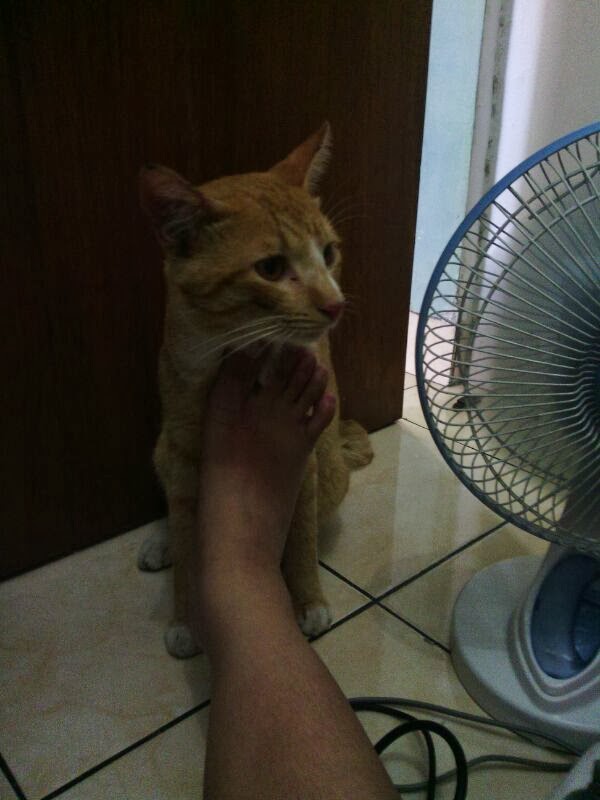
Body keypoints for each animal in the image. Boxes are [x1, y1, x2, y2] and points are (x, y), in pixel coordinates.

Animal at [137, 123, 373, 658]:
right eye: (270, 268)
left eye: (328, 253)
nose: (335, 305)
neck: (239, 352)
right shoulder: (183, 454)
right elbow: (187, 540)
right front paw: (186, 618)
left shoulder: (303, 458)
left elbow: (301, 536)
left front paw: (307, 600)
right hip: (162, 451)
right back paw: (160, 543)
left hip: (329, 470)